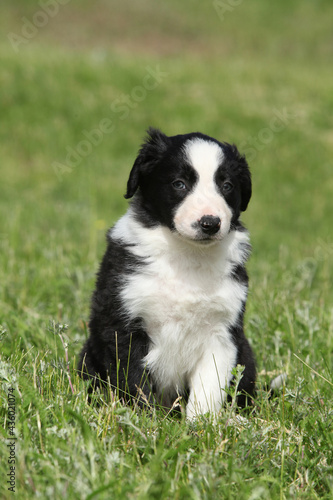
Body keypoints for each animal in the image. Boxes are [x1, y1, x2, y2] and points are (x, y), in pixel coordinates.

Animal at [78, 128, 254, 418]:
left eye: (227, 186)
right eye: (179, 184)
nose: (210, 223)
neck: (186, 255)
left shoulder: (222, 331)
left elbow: (208, 388)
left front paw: (201, 425)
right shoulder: (123, 323)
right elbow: (134, 379)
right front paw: (143, 420)